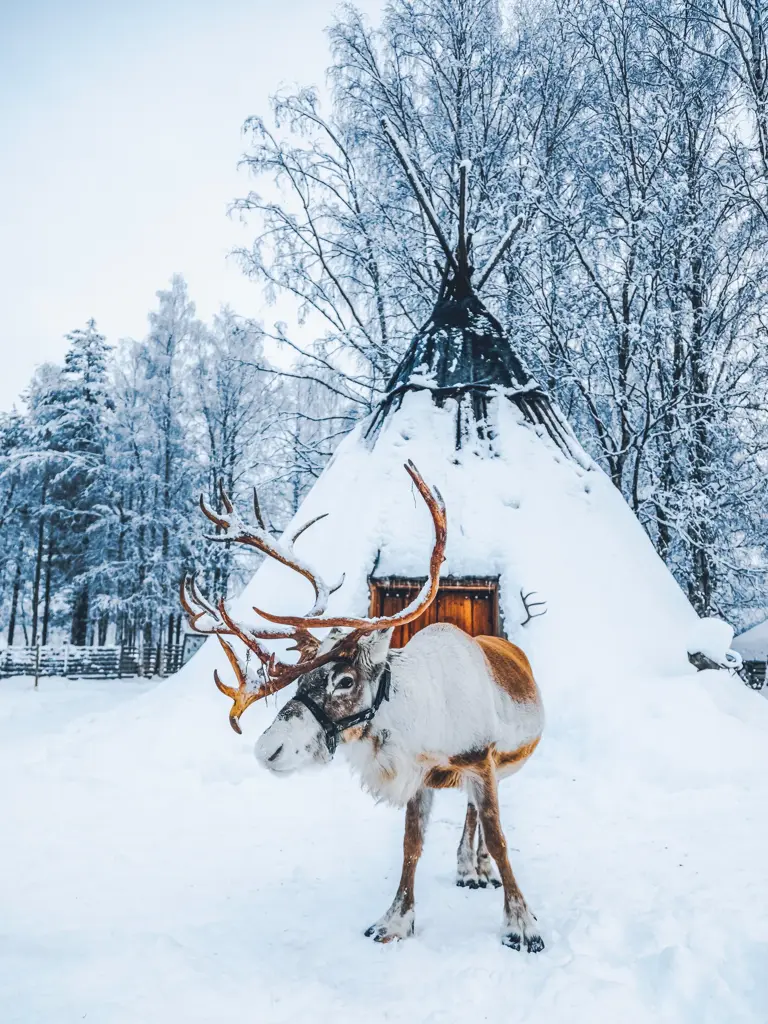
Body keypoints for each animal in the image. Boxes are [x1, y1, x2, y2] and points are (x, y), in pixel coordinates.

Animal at [181, 462, 545, 952]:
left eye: (345, 680)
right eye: (302, 681)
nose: (266, 750)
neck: (426, 718)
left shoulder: (481, 759)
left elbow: (500, 837)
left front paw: (522, 925)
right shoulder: (421, 777)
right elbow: (411, 845)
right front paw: (394, 921)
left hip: (500, 764)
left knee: (478, 814)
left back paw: (479, 869)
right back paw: (468, 868)